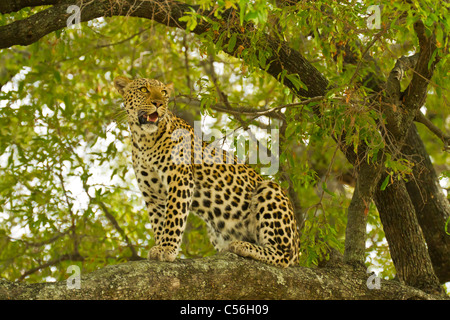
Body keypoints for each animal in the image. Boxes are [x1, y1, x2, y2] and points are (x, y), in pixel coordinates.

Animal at [114, 76, 300, 266]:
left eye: (164, 93)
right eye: (143, 90)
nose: (158, 103)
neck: (145, 140)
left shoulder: (180, 178)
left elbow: (174, 216)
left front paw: (167, 248)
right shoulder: (153, 194)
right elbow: (160, 223)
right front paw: (161, 245)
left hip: (270, 191)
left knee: (283, 255)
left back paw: (243, 246)